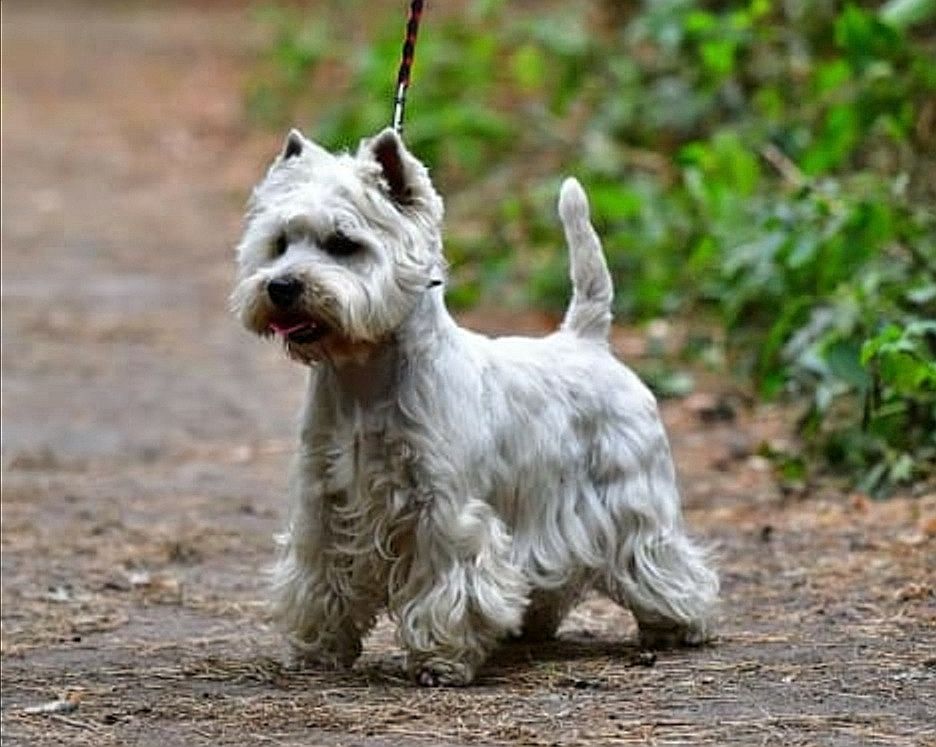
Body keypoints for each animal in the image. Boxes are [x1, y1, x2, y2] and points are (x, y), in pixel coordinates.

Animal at [232, 127, 716, 684]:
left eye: (343, 243)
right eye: (279, 243)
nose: (281, 286)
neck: (363, 381)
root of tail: (588, 340)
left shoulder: (443, 506)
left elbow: (451, 581)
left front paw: (441, 660)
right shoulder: (325, 502)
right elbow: (321, 576)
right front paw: (317, 649)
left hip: (633, 493)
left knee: (660, 555)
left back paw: (678, 623)